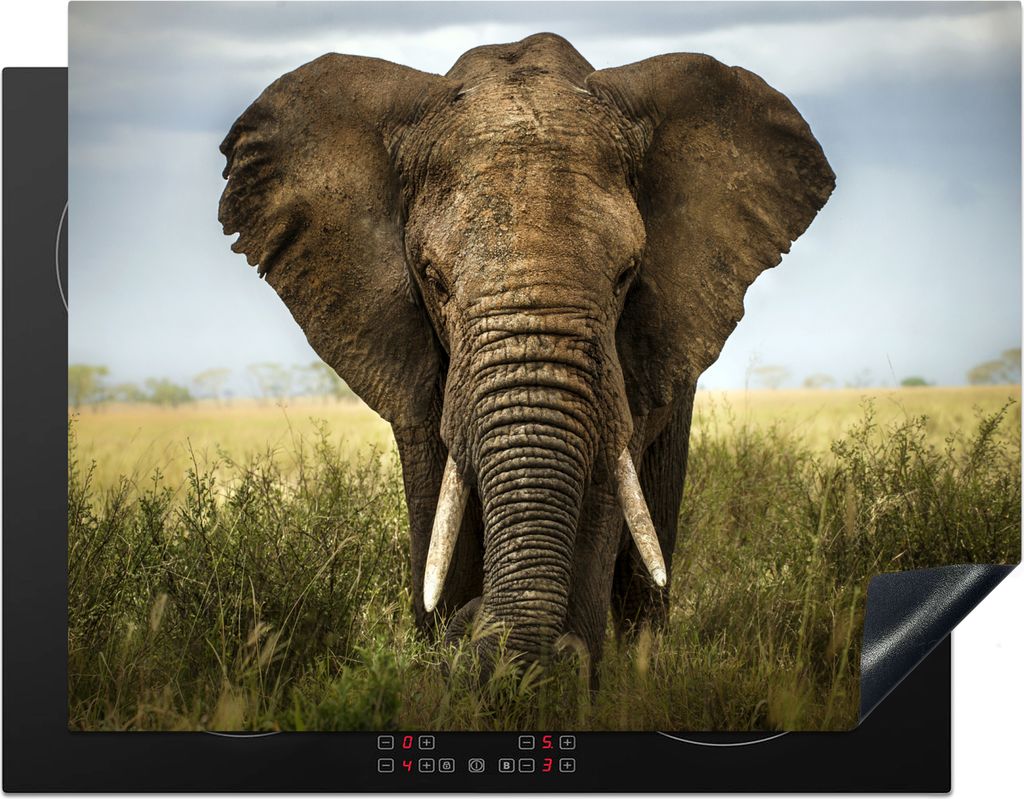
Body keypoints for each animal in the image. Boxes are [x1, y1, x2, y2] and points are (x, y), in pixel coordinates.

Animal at [218, 33, 834, 674]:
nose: (474, 627)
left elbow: (602, 490)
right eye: (433, 279)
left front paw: (561, 675)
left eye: (626, 275)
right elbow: (438, 498)